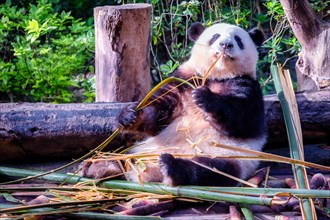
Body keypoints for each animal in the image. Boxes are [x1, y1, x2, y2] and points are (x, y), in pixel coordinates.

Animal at [82, 22, 266, 186]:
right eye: (215, 36)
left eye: (238, 39)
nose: (225, 44)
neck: (216, 76)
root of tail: (151, 173)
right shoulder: (183, 81)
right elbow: (157, 116)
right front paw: (129, 115)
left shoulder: (246, 86)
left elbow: (241, 120)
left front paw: (205, 98)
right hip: (139, 150)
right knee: (121, 157)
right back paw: (101, 166)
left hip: (229, 156)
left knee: (209, 170)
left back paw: (171, 167)